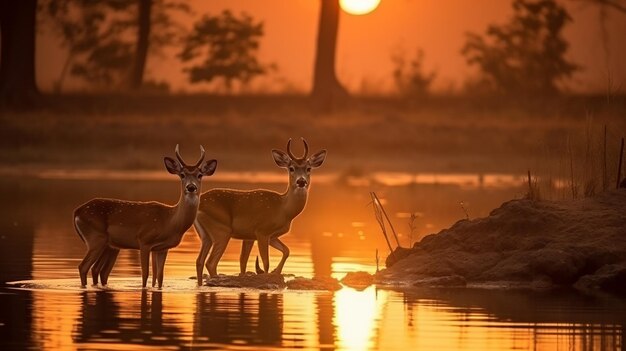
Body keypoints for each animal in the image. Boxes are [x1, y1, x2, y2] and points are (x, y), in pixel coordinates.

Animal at [73, 146, 217, 288]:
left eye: (199, 175)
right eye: (182, 175)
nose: (191, 187)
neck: (170, 221)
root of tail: (77, 212)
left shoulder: (163, 248)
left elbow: (160, 277)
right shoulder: (144, 240)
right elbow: (145, 274)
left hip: (110, 245)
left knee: (98, 270)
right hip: (95, 238)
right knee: (83, 267)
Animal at [193, 138, 324, 286]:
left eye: (308, 168)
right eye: (291, 168)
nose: (301, 181)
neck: (283, 209)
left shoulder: (266, 236)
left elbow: (286, 250)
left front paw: (276, 272)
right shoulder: (262, 231)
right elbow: (266, 262)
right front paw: (269, 276)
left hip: (205, 235)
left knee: (199, 261)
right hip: (222, 230)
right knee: (211, 263)